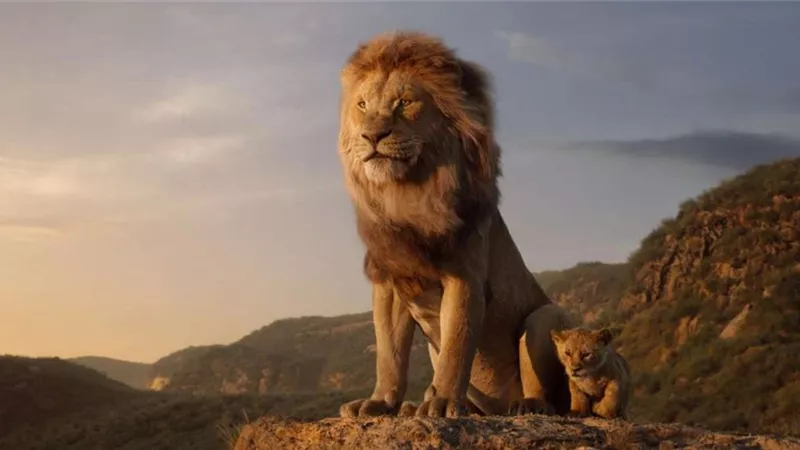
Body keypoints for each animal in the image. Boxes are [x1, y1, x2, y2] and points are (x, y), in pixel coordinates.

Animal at [336, 31, 575, 418]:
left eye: (404, 102)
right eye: (362, 105)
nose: (372, 136)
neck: (406, 194)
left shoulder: (465, 276)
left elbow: (456, 345)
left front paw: (444, 402)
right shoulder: (390, 281)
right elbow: (389, 354)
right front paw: (380, 402)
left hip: (545, 317)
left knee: (547, 392)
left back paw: (526, 406)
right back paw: (415, 407)